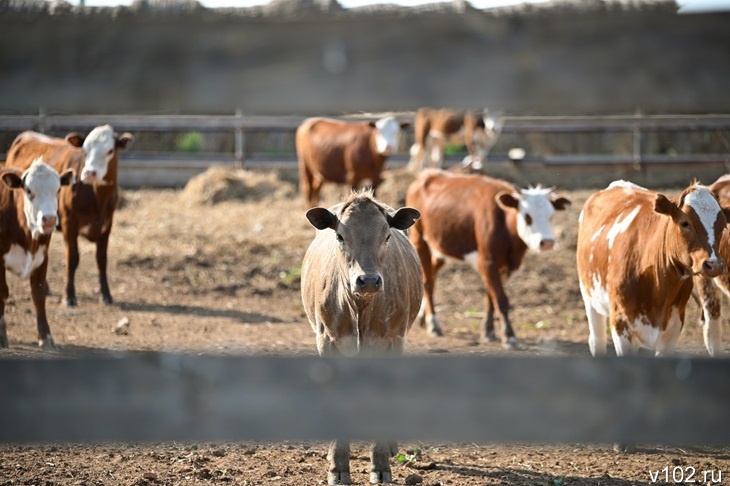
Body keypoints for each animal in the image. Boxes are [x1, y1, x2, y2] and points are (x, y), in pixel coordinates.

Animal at [0, 159, 74, 350]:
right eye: (28, 190)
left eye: (58, 189)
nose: (49, 219)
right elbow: (2, 293)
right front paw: (1, 336)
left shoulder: (42, 257)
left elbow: (39, 294)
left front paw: (46, 337)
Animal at [4, 126, 134, 308]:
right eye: (85, 150)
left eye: (110, 151)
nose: (89, 173)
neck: (96, 196)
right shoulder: (69, 224)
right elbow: (72, 259)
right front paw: (69, 296)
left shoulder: (107, 225)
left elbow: (102, 259)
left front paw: (106, 294)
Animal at [298, 192, 420, 484]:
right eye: (340, 236)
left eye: (387, 235)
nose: (369, 281)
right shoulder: (328, 340)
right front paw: (338, 466)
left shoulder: (391, 340)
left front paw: (381, 464)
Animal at [404, 169, 568, 348]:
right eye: (527, 216)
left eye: (551, 216)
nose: (547, 242)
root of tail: (427, 174)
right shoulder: (487, 262)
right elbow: (501, 299)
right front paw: (509, 335)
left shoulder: (502, 266)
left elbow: (491, 298)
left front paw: (489, 331)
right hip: (419, 241)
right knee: (427, 283)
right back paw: (433, 324)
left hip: (442, 247)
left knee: (430, 277)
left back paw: (422, 317)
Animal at [576, 178, 724, 356]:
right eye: (685, 223)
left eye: (723, 225)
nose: (714, 264)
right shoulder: (620, 324)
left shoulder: (674, 326)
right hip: (589, 296)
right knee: (597, 339)